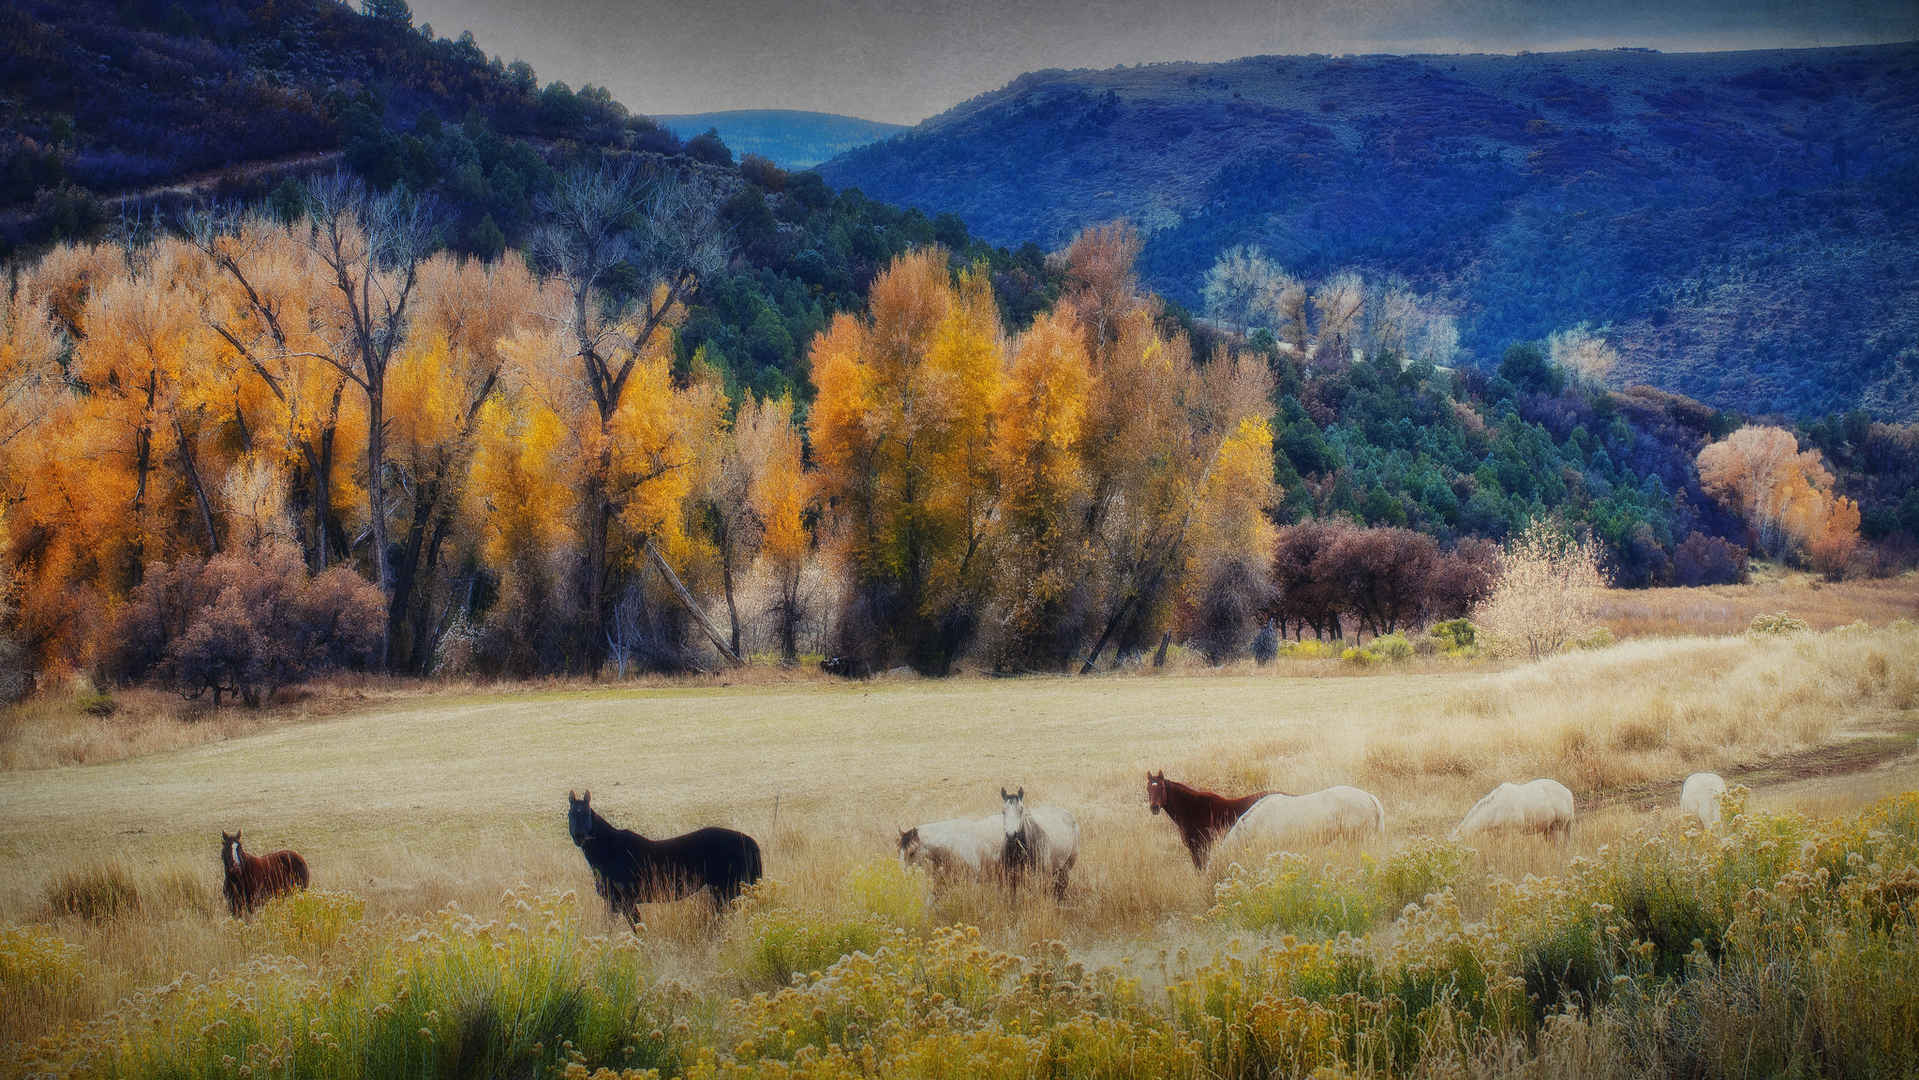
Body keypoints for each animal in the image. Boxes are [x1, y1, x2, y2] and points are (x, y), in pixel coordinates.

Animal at [564, 790, 759, 924]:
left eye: (586, 813)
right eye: (570, 814)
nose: (579, 836)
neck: (609, 851)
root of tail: (747, 839)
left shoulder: (625, 902)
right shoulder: (615, 904)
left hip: (729, 891)